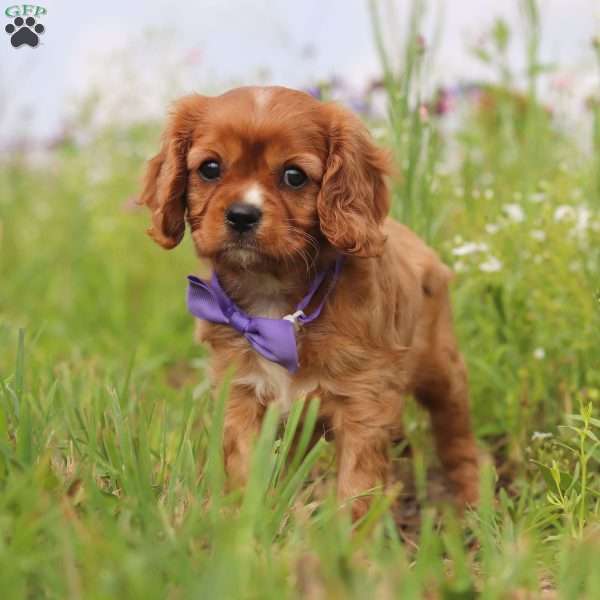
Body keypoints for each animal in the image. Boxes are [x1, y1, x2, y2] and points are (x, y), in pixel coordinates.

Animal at [139, 85, 478, 520]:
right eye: (210, 168)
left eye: (294, 176)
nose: (242, 215)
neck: (274, 306)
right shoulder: (240, 393)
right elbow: (245, 464)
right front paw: (246, 519)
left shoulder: (364, 401)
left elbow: (358, 481)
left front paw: (349, 535)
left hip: (443, 372)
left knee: (457, 436)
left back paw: (474, 501)